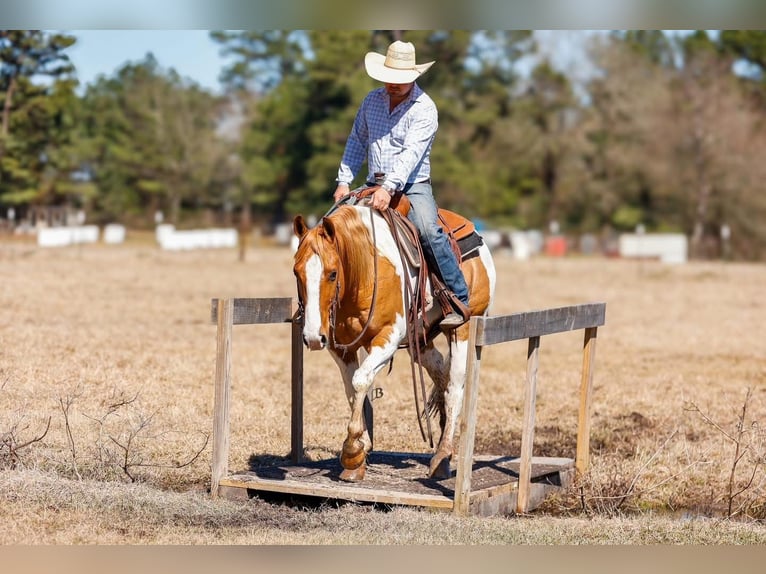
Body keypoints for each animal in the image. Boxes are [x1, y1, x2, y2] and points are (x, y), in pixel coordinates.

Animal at [292, 202, 498, 482]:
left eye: (333, 274)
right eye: (296, 272)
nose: (313, 337)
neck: (364, 270)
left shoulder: (387, 338)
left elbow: (360, 381)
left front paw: (352, 451)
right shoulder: (340, 348)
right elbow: (352, 390)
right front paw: (359, 453)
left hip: (463, 328)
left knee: (454, 386)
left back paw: (442, 454)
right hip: (420, 341)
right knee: (440, 374)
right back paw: (442, 455)